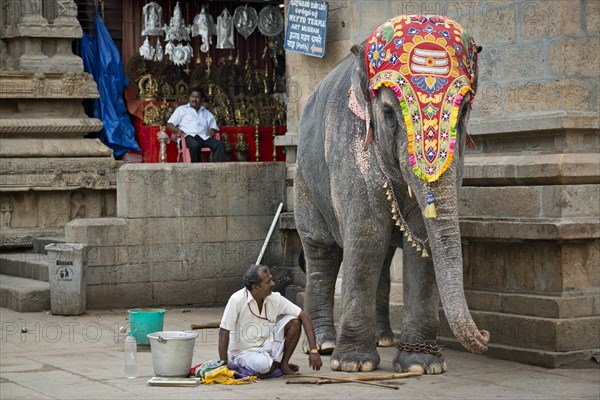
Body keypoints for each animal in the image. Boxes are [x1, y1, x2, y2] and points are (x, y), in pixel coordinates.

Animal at [292, 13, 490, 376]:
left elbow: (423, 240)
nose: (486, 335)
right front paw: (353, 365)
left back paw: (383, 339)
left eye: (466, 108)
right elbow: (367, 234)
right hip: (304, 185)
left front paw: (421, 366)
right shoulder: (350, 144)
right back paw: (323, 345)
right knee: (321, 255)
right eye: (387, 113)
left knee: (383, 259)